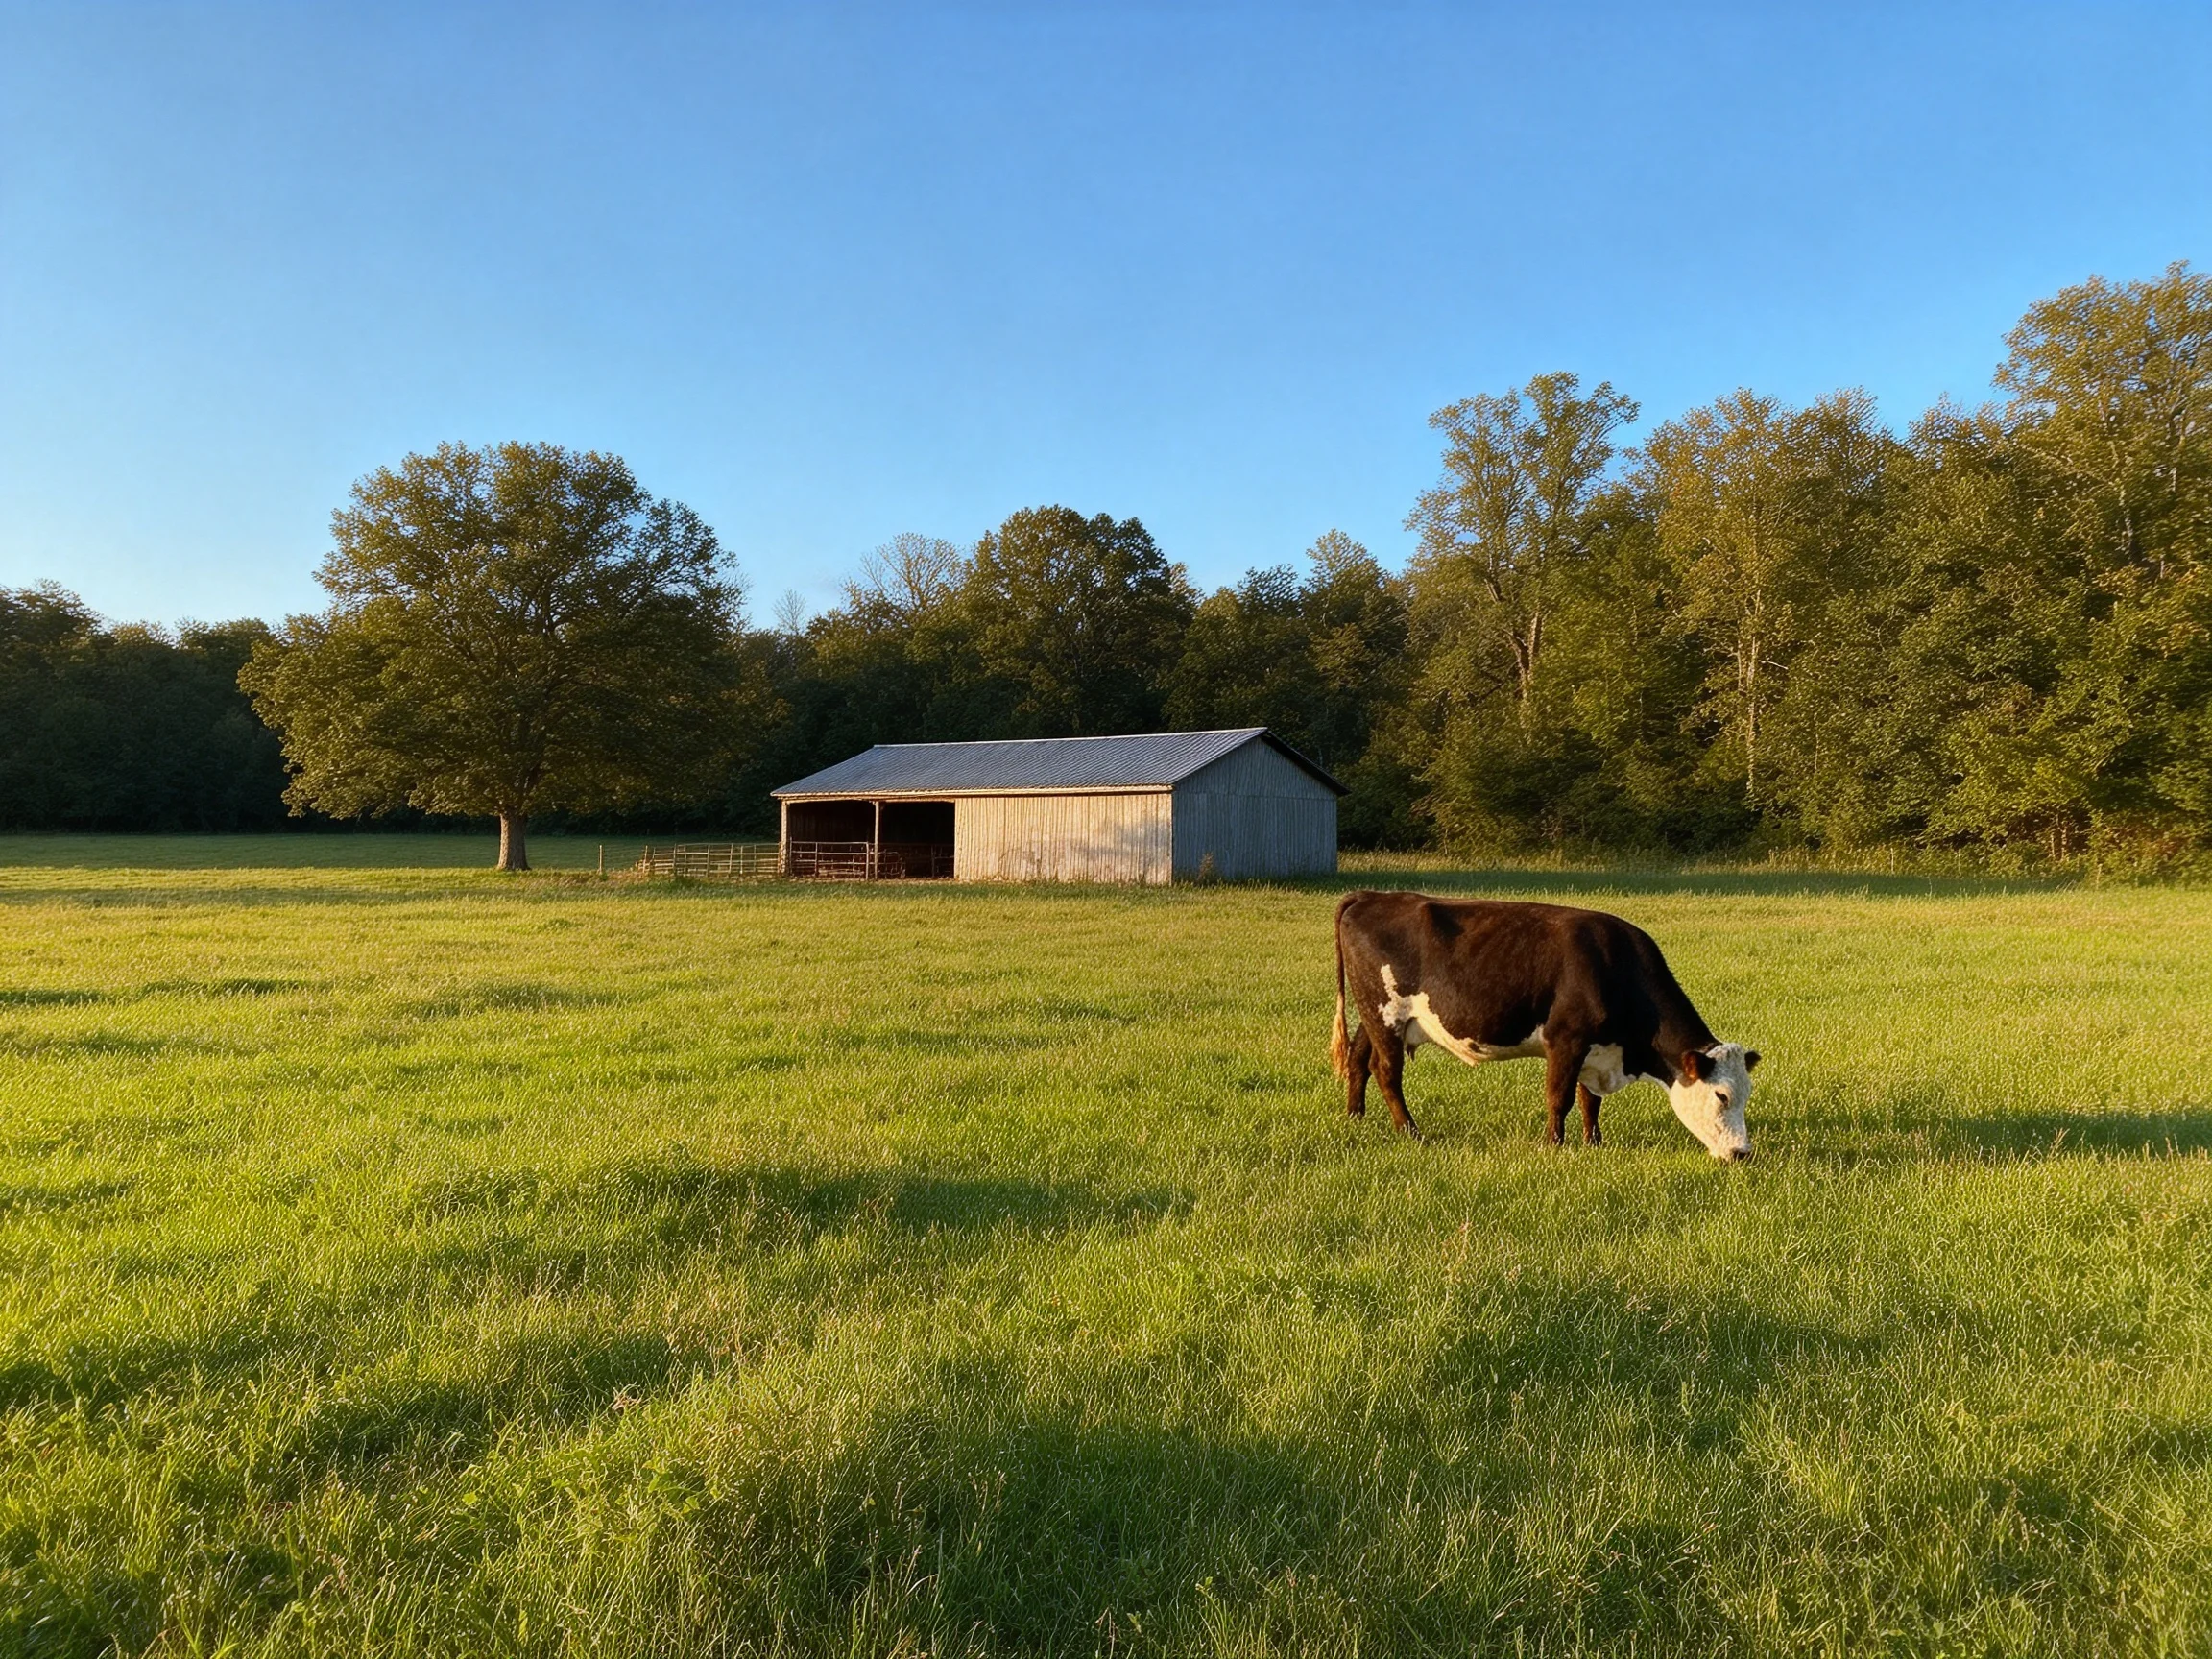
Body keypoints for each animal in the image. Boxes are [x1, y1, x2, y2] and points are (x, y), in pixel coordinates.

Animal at [1330, 890, 1759, 1159]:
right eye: (1721, 1095)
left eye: (1747, 1095)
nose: (1742, 1153)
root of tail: (1371, 896)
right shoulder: (1565, 1040)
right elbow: (1560, 1097)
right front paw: (1554, 1144)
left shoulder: (1595, 1050)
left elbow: (1590, 1101)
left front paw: (1594, 1142)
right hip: (1386, 1012)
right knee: (1386, 1071)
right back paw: (1411, 1132)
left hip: (1375, 1015)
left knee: (1358, 1059)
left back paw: (1356, 1117)